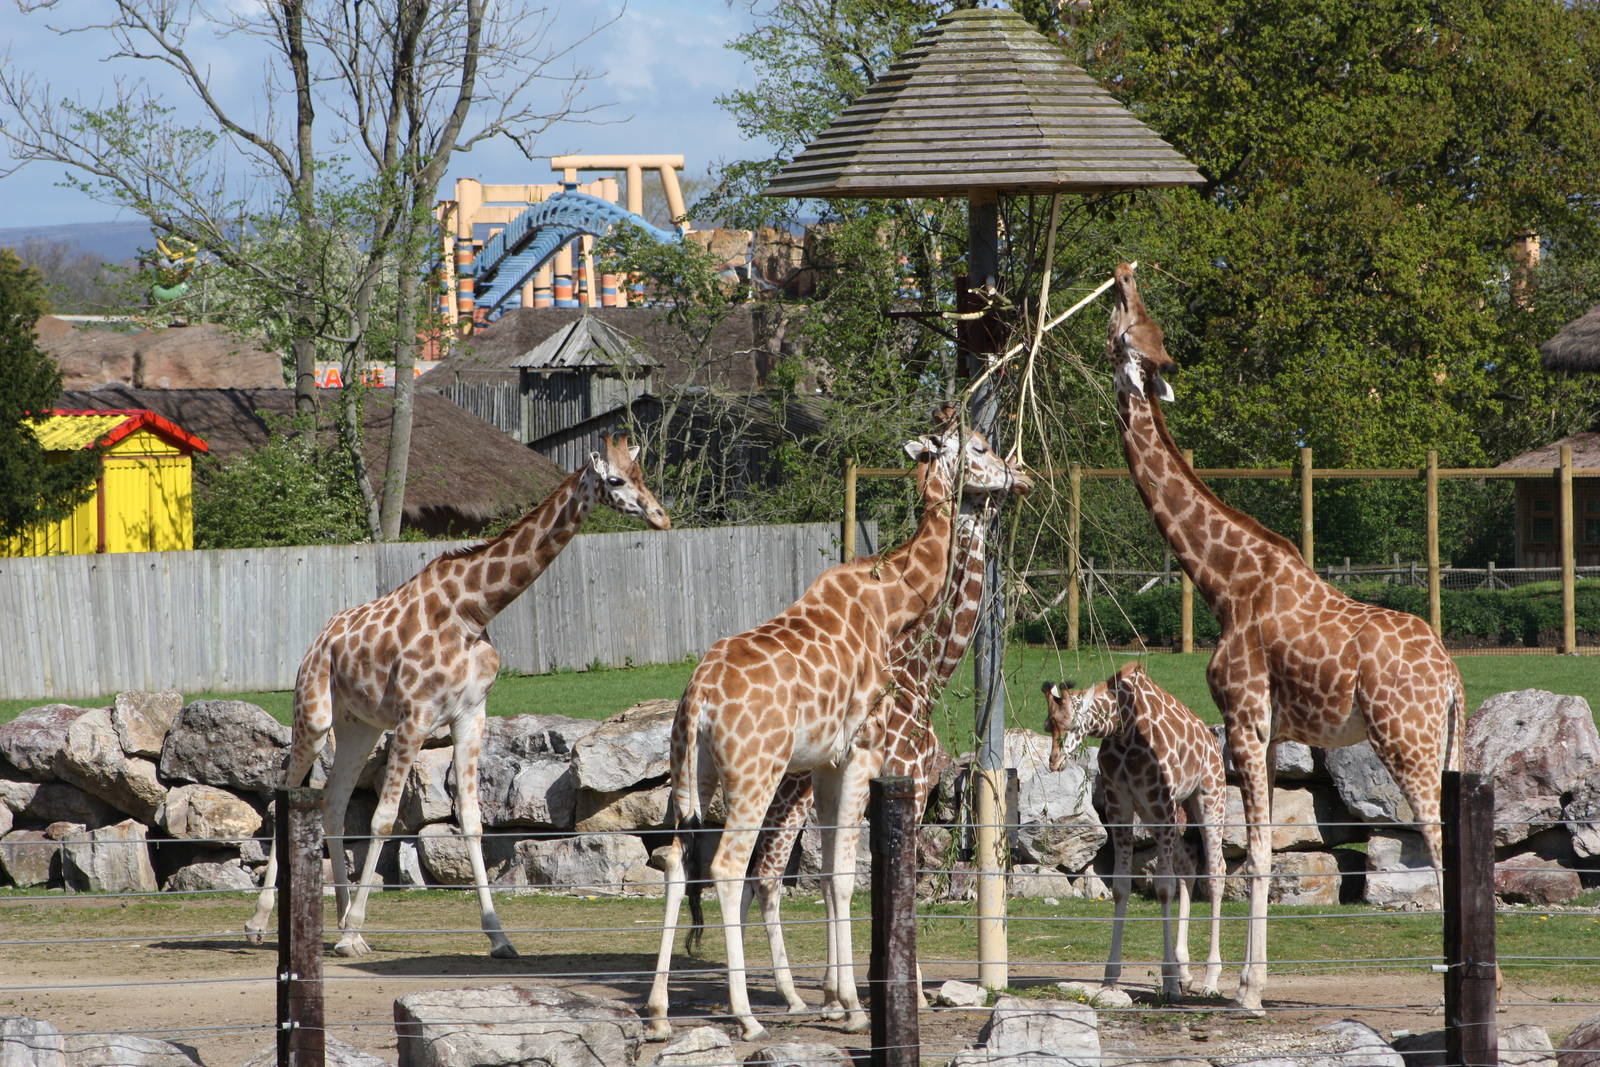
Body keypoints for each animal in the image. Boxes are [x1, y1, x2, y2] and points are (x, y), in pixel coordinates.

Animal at [244, 435, 668, 958]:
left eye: (642, 474)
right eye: (615, 479)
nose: (660, 516)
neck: (472, 610)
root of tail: (319, 640)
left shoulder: (471, 714)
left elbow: (471, 820)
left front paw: (499, 937)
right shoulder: (414, 717)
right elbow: (384, 819)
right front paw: (355, 928)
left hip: (359, 727)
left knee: (333, 804)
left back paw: (341, 923)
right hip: (314, 716)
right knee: (288, 795)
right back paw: (263, 923)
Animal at [645, 423, 1030, 1041]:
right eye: (980, 447)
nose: (1022, 475)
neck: (893, 602)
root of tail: (698, 698)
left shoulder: (829, 762)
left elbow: (829, 874)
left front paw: (841, 1001)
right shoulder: (871, 758)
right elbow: (854, 877)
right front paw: (859, 1005)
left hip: (692, 777)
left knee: (678, 864)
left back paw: (659, 1013)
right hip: (755, 775)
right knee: (732, 869)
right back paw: (748, 1016)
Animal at [1042, 662, 1226, 1003]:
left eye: (1072, 723)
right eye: (1049, 725)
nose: (1054, 762)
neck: (1123, 727)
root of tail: (1212, 741)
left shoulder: (1160, 802)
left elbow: (1164, 888)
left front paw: (1169, 983)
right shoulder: (1120, 806)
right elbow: (1121, 887)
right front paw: (1110, 978)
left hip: (1208, 796)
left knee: (1216, 870)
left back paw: (1210, 980)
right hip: (1161, 813)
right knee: (1188, 864)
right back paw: (1186, 972)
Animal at [1104, 262, 1464, 1013]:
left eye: (1130, 323)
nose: (1123, 273)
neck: (1225, 581)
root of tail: (1452, 678)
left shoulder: (1243, 715)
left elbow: (1258, 852)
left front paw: (1242, 989)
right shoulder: (1270, 731)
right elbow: (1259, 847)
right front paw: (1251, 979)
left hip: (1406, 740)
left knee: (1439, 839)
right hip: (1446, 742)